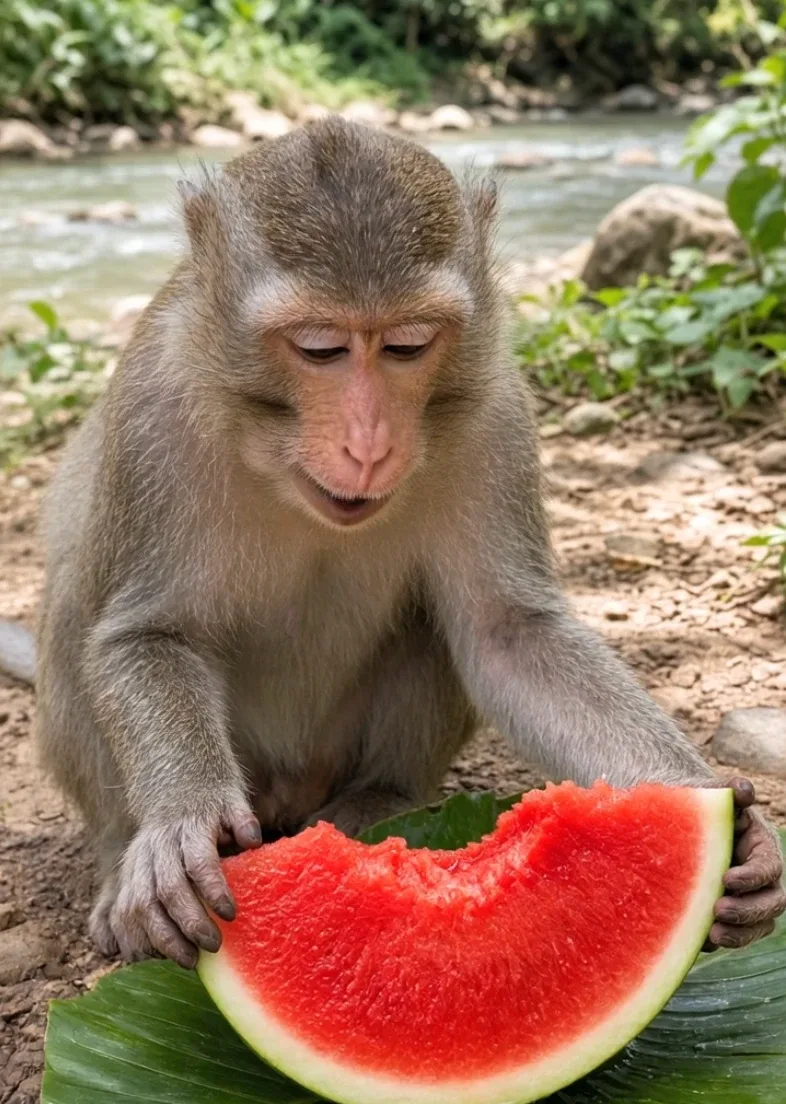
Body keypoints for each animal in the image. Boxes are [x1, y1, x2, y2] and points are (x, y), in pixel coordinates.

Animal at [0, 117, 782, 971]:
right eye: (319, 348)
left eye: (408, 345)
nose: (369, 443)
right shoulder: (153, 409)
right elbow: (143, 634)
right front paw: (182, 822)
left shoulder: (495, 410)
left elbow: (508, 633)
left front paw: (712, 813)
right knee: (74, 618)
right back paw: (122, 859)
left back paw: (385, 796)